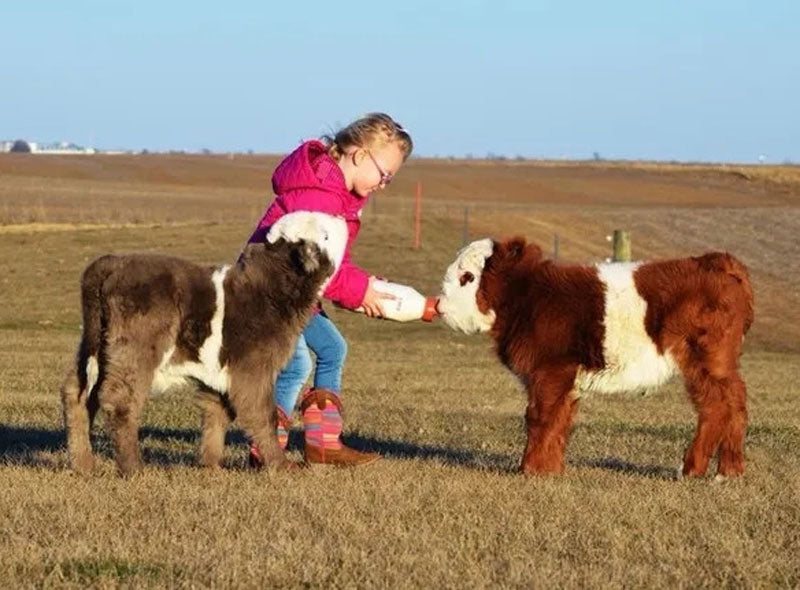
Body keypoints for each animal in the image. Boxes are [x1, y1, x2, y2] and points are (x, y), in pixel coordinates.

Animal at [61, 212, 348, 476]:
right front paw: (281, 465)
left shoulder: (220, 372)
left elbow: (216, 412)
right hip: (134, 352)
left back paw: (84, 465)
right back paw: (133, 468)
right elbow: (263, 414)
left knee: (78, 396)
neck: (271, 289)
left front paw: (210, 466)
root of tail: (113, 262)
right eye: (325, 235)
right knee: (120, 400)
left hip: (96, 349)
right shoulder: (253, 371)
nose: (342, 218)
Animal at [438, 238, 756, 478]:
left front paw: (530, 469)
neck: (529, 299)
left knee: (716, 406)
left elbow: (540, 417)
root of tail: (716, 262)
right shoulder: (564, 379)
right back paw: (729, 470)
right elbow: (560, 419)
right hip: (719, 364)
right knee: (735, 403)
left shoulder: (550, 371)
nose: (439, 305)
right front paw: (551, 470)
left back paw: (692, 469)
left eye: (467, 278)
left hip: (704, 359)